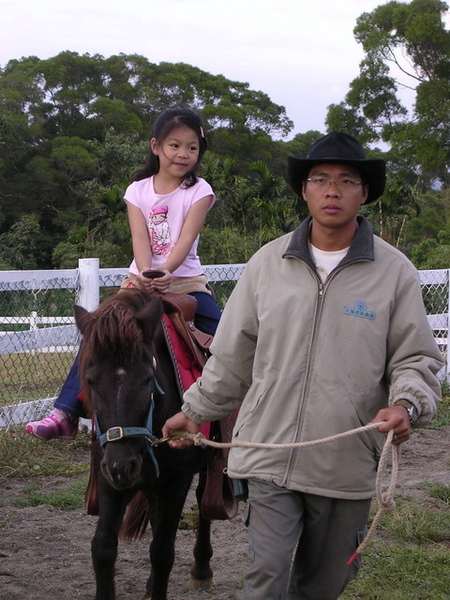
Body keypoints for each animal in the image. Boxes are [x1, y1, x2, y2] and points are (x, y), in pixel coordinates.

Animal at [74, 288, 214, 596]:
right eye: (90, 380)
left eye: (148, 378)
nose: (122, 466)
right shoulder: (108, 480)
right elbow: (102, 548)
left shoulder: (176, 483)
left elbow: (162, 552)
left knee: (204, 502)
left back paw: (201, 569)